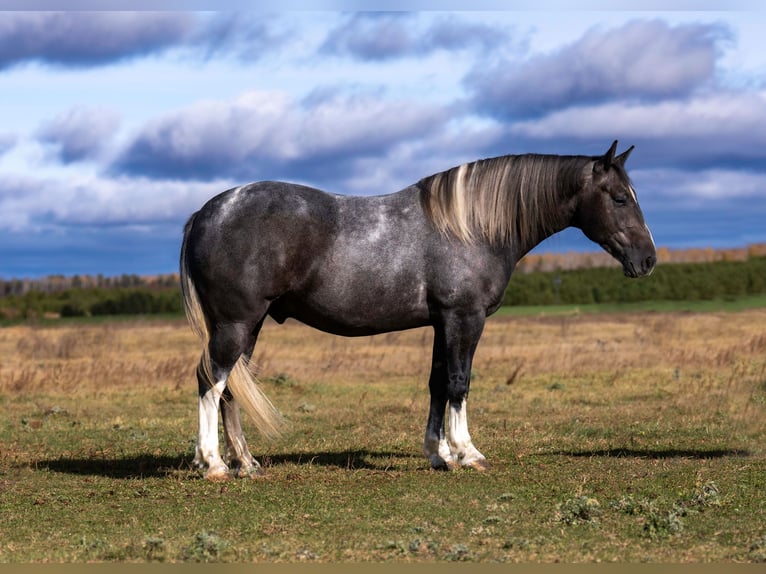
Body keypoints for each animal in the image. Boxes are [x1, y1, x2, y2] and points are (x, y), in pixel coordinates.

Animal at [180, 140, 656, 480]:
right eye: (619, 198)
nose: (648, 259)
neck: (471, 227)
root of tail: (205, 212)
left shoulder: (442, 323)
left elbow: (437, 384)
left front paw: (438, 454)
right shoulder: (464, 318)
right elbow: (460, 383)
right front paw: (468, 453)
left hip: (249, 325)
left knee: (230, 387)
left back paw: (246, 463)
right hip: (236, 323)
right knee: (211, 380)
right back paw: (213, 465)